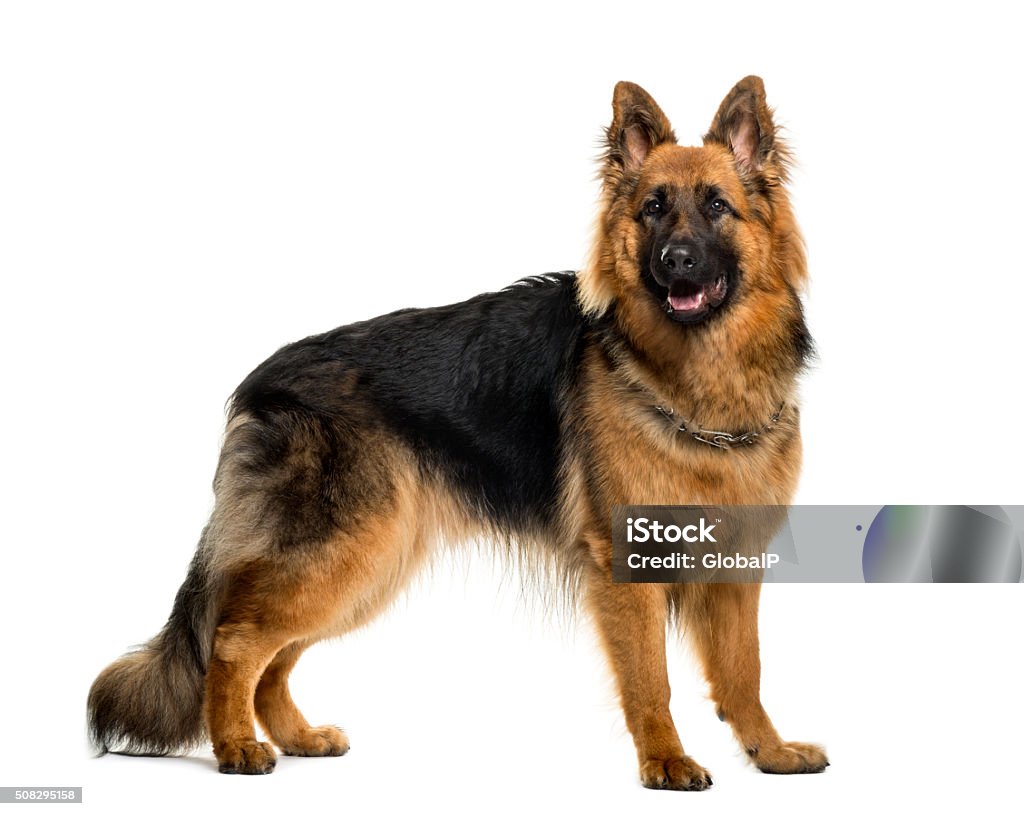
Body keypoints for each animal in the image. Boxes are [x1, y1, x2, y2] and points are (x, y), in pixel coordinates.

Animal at [86, 79, 823, 786]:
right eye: (652, 209)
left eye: (718, 206)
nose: (676, 260)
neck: (690, 387)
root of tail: (259, 382)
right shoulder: (626, 571)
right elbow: (651, 681)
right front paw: (666, 762)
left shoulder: (735, 570)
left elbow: (744, 673)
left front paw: (769, 752)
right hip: (346, 555)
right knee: (235, 638)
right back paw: (237, 746)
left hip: (368, 565)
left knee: (273, 653)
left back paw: (295, 736)